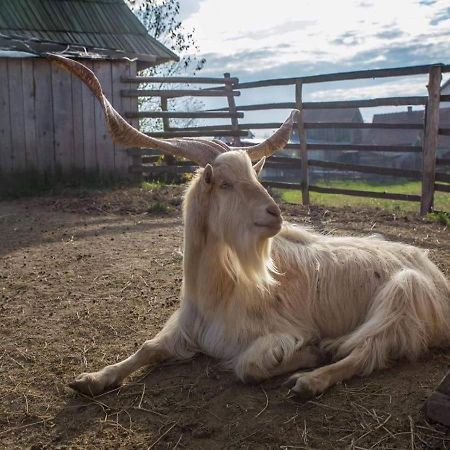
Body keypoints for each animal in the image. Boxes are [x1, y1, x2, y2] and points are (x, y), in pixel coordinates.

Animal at [50, 55, 450, 398]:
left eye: (254, 177)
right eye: (225, 183)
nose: (274, 213)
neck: (217, 292)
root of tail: (432, 271)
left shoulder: (278, 332)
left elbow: (249, 367)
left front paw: (310, 353)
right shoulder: (186, 329)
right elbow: (147, 347)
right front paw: (91, 378)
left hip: (404, 294)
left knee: (369, 351)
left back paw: (311, 378)